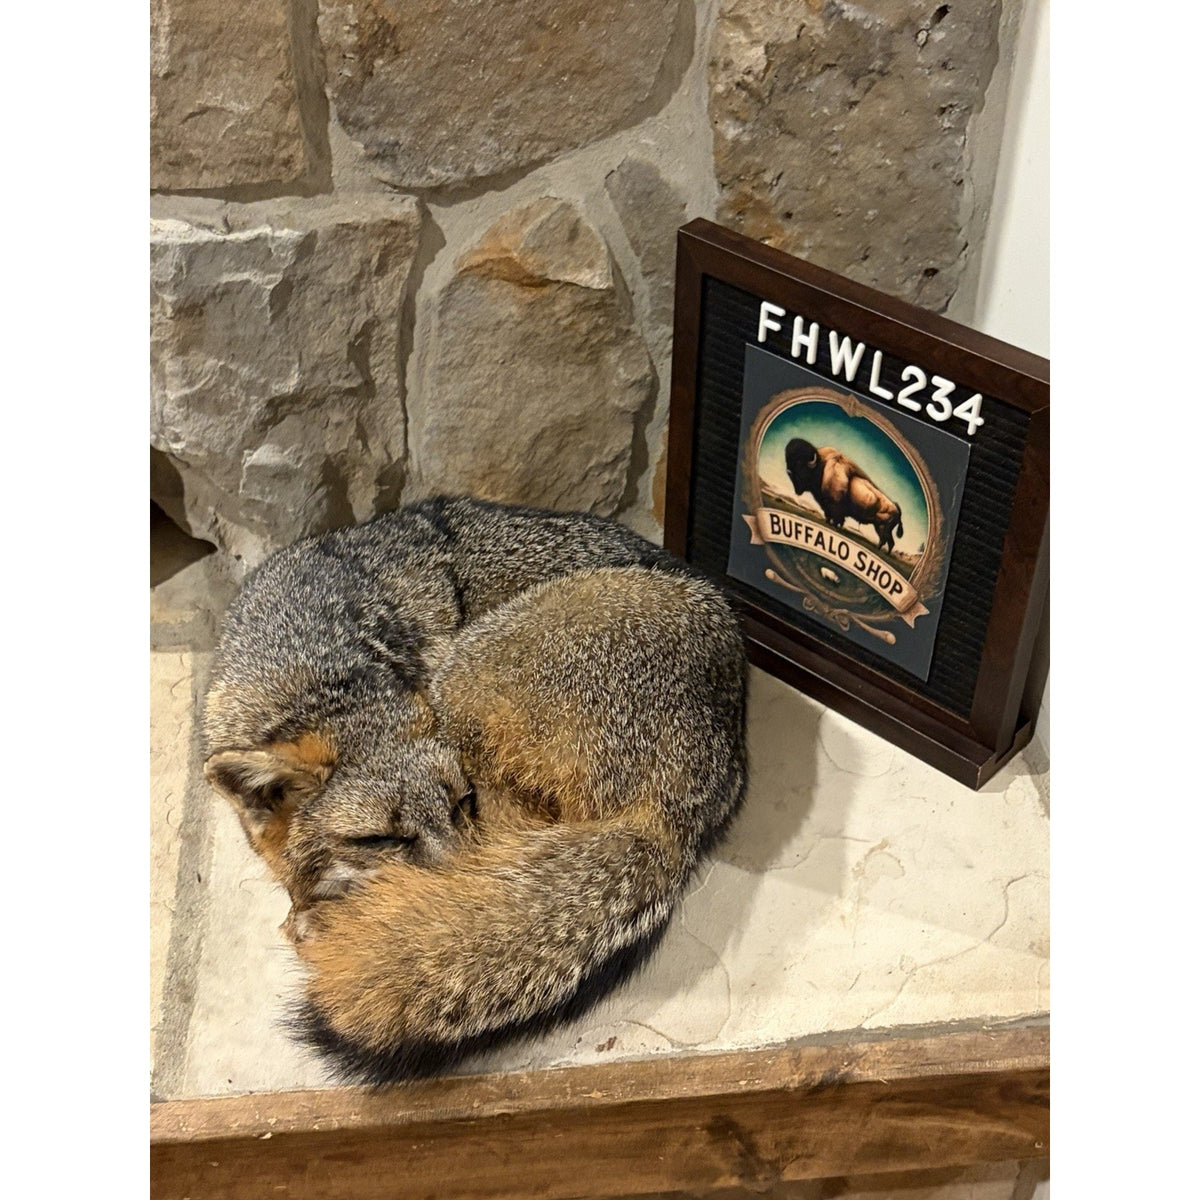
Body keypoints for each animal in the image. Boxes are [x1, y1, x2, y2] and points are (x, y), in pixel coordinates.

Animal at [201, 496, 747, 1082]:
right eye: (382, 839)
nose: (448, 887)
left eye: (462, 804)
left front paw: (315, 911)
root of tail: (682, 809)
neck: (304, 667)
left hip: (459, 681)